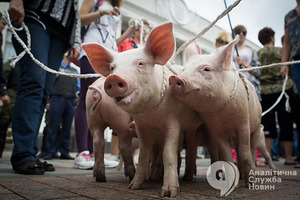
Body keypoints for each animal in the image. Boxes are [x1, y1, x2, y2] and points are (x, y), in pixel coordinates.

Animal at [82, 22, 204, 198]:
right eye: (112, 67)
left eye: (140, 63)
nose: (113, 78)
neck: (151, 114)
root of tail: (96, 90)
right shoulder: (141, 125)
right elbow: (144, 154)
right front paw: (134, 187)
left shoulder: (174, 122)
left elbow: (168, 153)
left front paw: (169, 193)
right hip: (109, 120)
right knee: (116, 144)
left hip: (95, 120)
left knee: (99, 141)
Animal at [169, 37, 262, 186]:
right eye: (183, 69)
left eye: (206, 69)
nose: (174, 78)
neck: (222, 114)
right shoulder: (216, 129)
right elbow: (227, 156)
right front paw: (232, 185)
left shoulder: (243, 123)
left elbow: (245, 154)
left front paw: (251, 185)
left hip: (257, 126)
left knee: (251, 150)